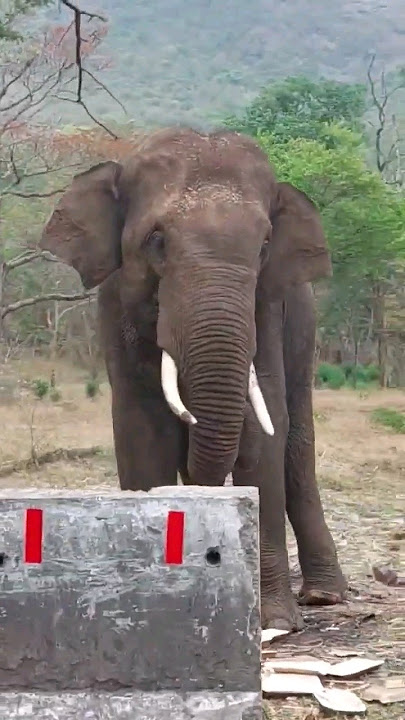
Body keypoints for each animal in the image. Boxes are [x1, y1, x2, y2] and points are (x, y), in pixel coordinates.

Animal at [40, 127, 346, 630]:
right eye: (156, 240)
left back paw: (325, 596)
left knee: (297, 436)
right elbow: (141, 428)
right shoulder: (116, 303)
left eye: (264, 246)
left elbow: (263, 430)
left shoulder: (266, 304)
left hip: (305, 322)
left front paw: (274, 622)